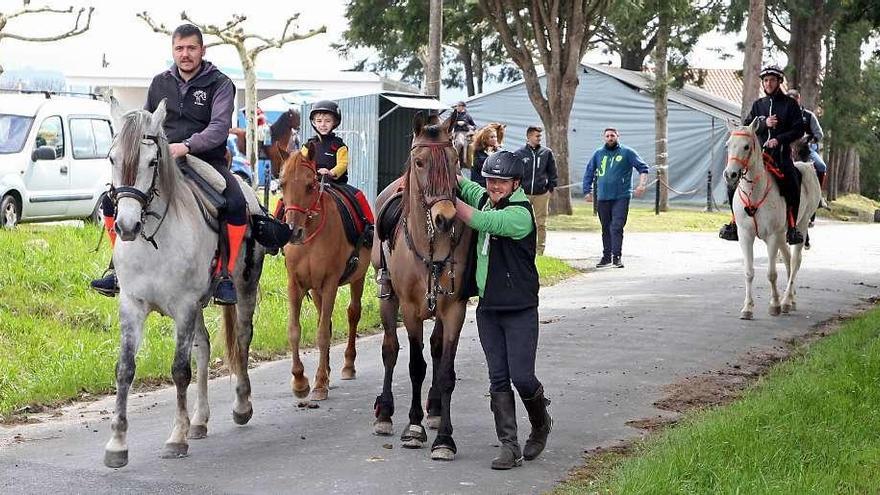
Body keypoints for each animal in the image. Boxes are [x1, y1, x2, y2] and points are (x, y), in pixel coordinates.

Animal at [104, 101, 266, 468]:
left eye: (153, 162)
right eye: (112, 158)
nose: (127, 226)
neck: (154, 240)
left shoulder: (184, 306)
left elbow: (179, 370)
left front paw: (176, 438)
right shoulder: (132, 304)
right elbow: (124, 369)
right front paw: (117, 443)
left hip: (242, 289)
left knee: (242, 339)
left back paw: (241, 405)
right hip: (199, 306)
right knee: (203, 347)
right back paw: (200, 420)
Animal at [278, 145, 368, 404]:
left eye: (310, 185)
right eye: (281, 184)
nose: (293, 232)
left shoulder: (329, 284)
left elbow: (322, 334)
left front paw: (319, 384)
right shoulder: (295, 285)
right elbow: (295, 330)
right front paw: (300, 381)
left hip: (358, 277)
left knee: (353, 313)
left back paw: (347, 366)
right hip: (316, 290)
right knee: (324, 319)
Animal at [370, 111, 474, 462]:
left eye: (455, 160)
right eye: (419, 162)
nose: (445, 218)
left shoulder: (454, 308)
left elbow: (446, 371)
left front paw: (444, 438)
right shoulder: (411, 309)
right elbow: (415, 365)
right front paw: (413, 428)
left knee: (438, 349)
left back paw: (435, 409)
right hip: (387, 298)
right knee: (390, 350)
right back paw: (385, 413)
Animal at [724, 120, 820, 322]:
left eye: (746, 146)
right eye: (728, 145)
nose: (730, 175)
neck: (754, 193)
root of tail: (808, 166)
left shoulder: (773, 236)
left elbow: (771, 274)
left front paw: (775, 305)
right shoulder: (745, 235)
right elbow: (749, 272)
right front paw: (747, 308)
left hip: (800, 226)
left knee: (795, 261)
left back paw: (785, 301)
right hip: (784, 234)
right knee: (788, 260)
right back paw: (790, 300)